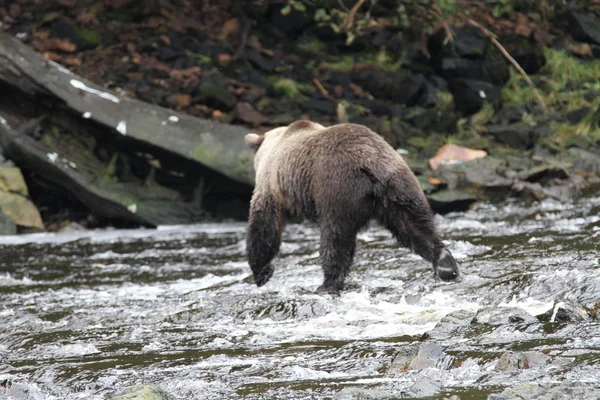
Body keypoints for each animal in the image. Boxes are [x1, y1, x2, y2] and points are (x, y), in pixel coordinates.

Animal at [244, 119, 460, 294]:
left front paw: (261, 273)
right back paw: (445, 263)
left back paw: (327, 284)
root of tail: (371, 162)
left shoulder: (271, 185)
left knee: (335, 236)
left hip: (337, 187)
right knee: (414, 225)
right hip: (400, 186)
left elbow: (264, 225)